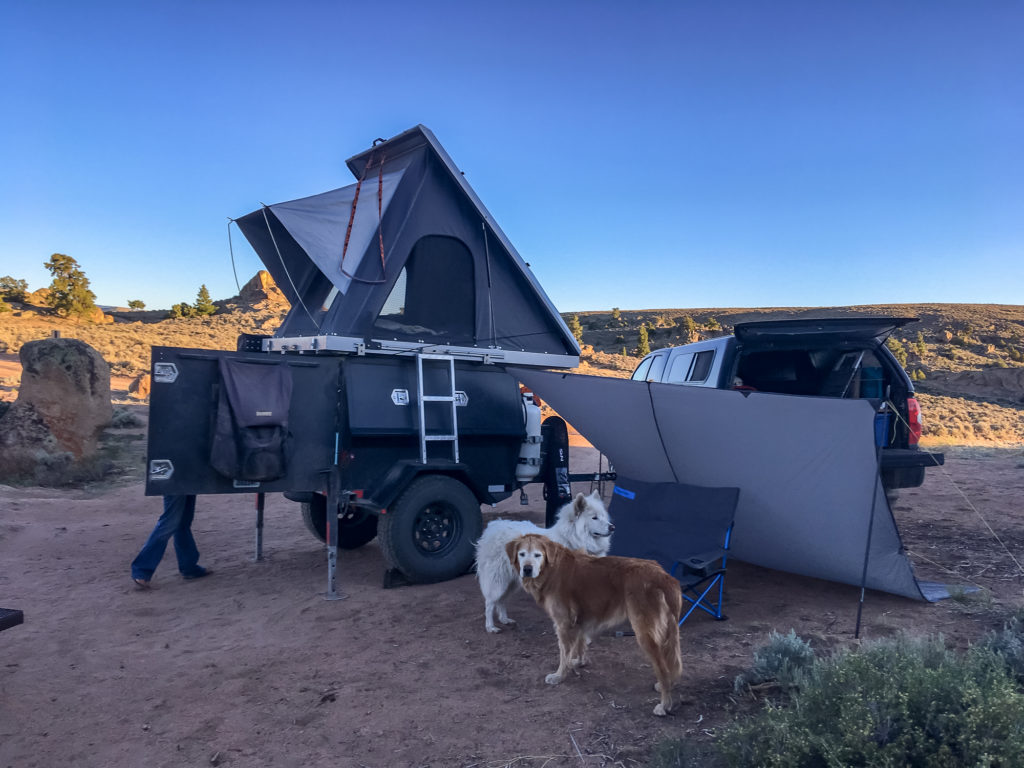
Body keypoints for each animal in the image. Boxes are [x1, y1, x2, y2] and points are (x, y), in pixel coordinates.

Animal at [473, 493, 610, 638]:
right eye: (594, 517)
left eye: (603, 516)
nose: (612, 527)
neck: (572, 540)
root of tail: (492, 528)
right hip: (498, 582)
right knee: (490, 603)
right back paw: (490, 627)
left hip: (511, 583)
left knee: (501, 601)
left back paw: (504, 619)